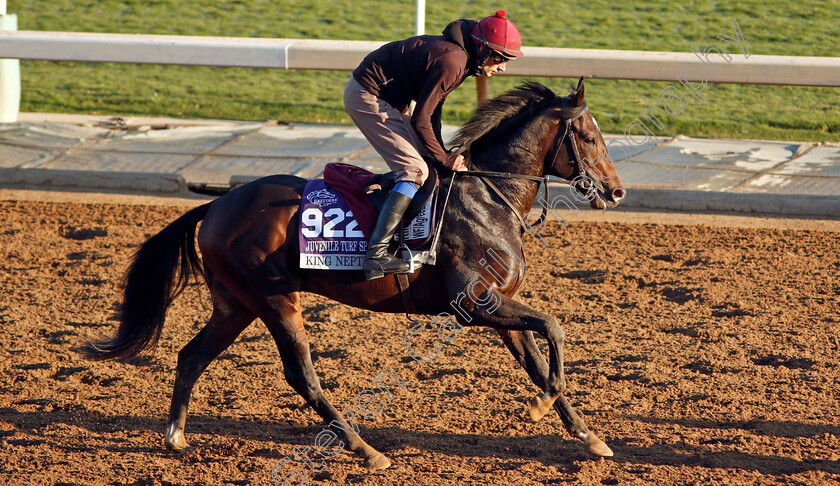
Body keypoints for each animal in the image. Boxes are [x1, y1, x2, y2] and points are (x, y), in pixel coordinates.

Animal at [83, 78, 624, 468]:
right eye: (590, 136)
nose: (616, 191)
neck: (489, 197)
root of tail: (215, 205)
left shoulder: (498, 306)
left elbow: (538, 356)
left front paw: (589, 437)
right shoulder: (474, 304)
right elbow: (554, 328)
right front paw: (538, 407)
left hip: (236, 304)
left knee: (192, 356)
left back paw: (175, 437)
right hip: (275, 299)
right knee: (301, 375)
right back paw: (365, 449)